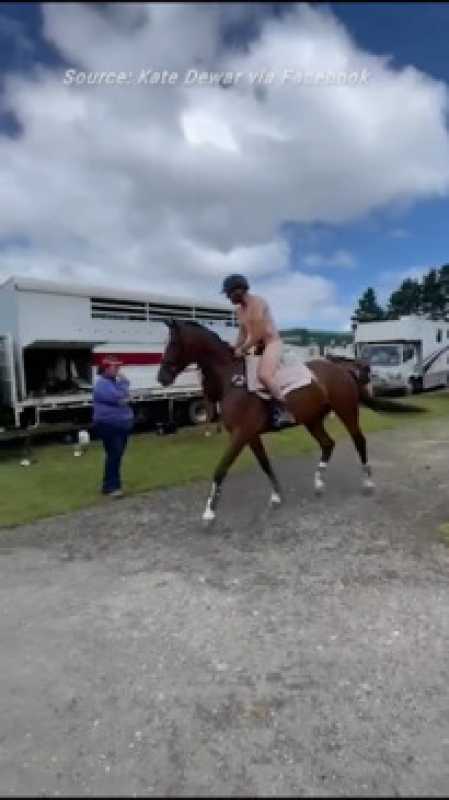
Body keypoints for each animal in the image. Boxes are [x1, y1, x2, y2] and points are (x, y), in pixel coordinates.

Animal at [158, 318, 424, 524]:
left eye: (173, 343)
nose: (162, 377)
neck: (233, 379)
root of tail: (344, 369)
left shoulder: (241, 434)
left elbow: (221, 468)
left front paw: (209, 513)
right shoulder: (250, 435)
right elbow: (265, 464)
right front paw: (277, 497)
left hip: (346, 412)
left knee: (359, 440)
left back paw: (367, 483)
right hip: (313, 420)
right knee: (327, 444)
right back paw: (318, 484)